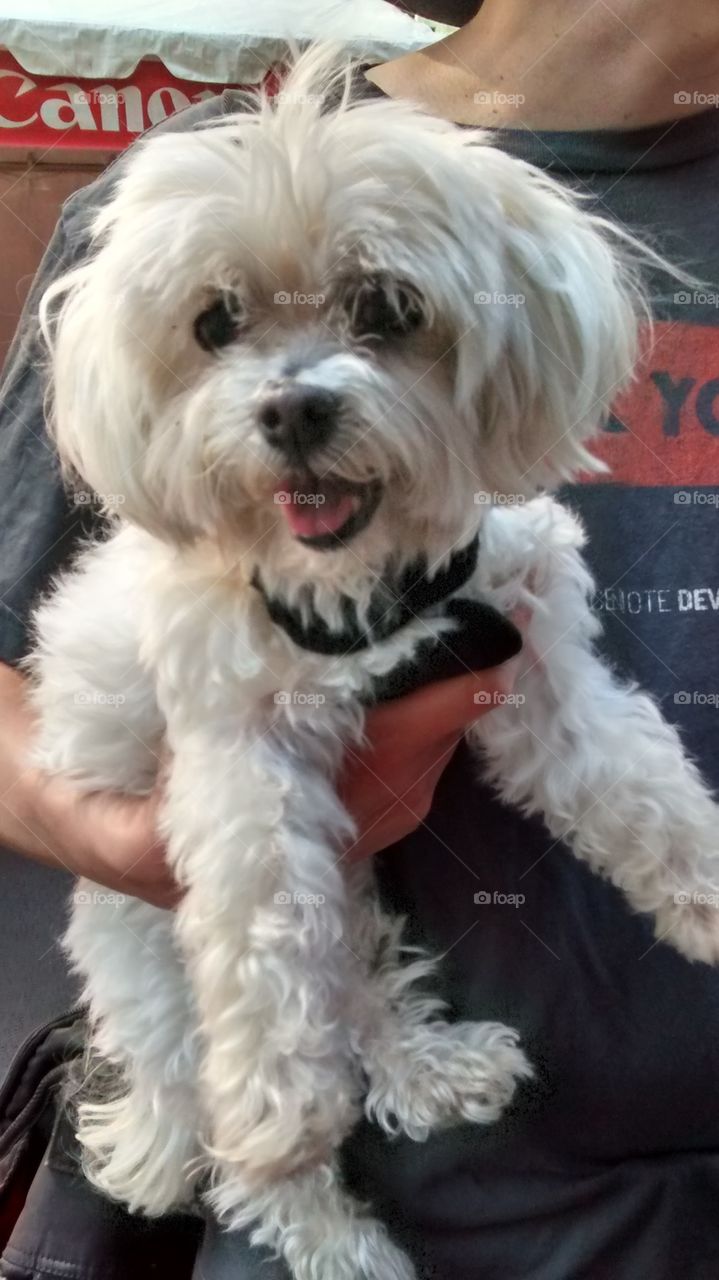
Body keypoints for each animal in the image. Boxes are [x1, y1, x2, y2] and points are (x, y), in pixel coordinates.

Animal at [30, 45, 716, 1280]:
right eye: (214, 322)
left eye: (389, 307)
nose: (293, 408)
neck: (362, 592)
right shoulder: (238, 766)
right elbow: (265, 943)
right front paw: (283, 1110)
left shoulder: (527, 665)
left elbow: (637, 784)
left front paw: (709, 895)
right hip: (162, 972)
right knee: (250, 1133)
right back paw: (337, 1234)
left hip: (353, 889)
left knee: (357, 991)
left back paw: (434, 1070)